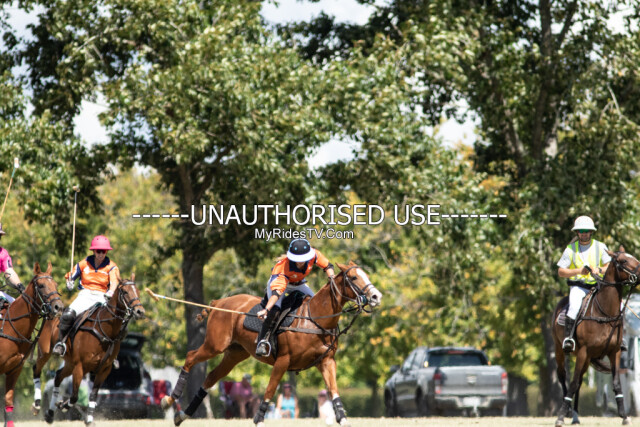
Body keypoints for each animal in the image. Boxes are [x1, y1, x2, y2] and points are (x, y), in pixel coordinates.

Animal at [31, 274, 145, 426]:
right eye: (125, 292)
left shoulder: (104, 369)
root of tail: (51, 314)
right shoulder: (80, 367)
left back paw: (50, 414)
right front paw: (64, 405)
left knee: (58, 376)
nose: (140, 311)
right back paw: (37, 405)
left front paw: (88, 418)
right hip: (45, 353)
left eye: (137, 291)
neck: (104, 330)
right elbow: (74, 397)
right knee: (37, 369)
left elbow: (93, 395)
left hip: (70, 363)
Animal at [160, 261, 382, 427]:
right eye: (354, 278)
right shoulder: (283, 360)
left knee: (211, 377)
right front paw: (258, 419)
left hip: (235, 354)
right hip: (215, 345)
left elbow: (333, 390)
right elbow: (270, 389)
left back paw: (182, 415)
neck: (315, 318)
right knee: (190, 357)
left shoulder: (327, 361)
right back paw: (169, 400)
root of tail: (218, 303)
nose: (376, 296)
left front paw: (343, 418)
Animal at [553, 247, 638, 426]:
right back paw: (568, 411)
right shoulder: (583, 351)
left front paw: (624, 416)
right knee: (563, 376)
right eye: (624, 261)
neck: (604, 312)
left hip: (585, 358)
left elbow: (616, 383)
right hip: (560, 349)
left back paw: (575, 416)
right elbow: (572, 382)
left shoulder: (614, 352)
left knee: (579, 381)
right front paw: (561, 416)